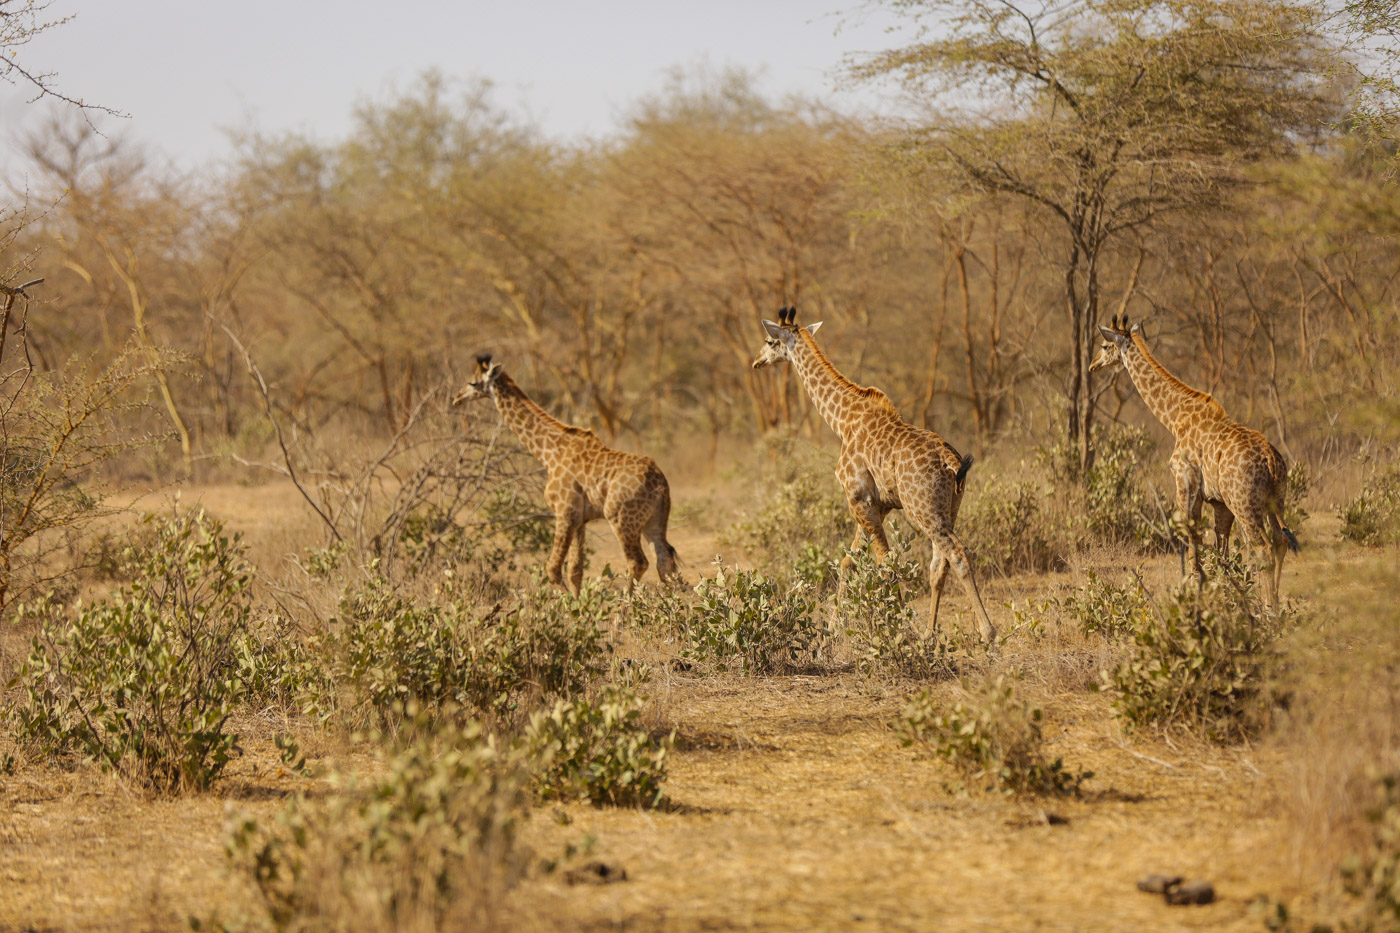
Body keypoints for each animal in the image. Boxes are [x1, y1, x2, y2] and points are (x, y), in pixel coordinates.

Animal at [453, 353, 677, 591]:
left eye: (473, 382)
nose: (456, 398)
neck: (549, 453)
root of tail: (660, 482)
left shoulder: (564, 512)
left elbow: (553, 569)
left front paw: (568, 601)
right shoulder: (580, 519)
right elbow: (575, 571)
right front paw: (579, 600)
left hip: (621, 518)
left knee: (638, 562)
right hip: (654, 519)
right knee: (664, 560)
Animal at [750, 308, 1002, 644]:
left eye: (769, 341)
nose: (757, 361)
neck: (842, 421)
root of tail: (949, 460)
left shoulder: (858, 497)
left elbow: (884, 565)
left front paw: (896, 631)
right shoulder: (877, 505)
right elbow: (849, 562)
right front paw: (832, 631)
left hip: (922, 509)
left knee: (958, 555)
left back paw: (988, 634)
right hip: (950, 508)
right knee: (939, 565)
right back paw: (929, 637)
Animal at [1086, 312, 1293, 610]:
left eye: (1104, 346)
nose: (1093, 365)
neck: (1175, 418)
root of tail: (1271, 460)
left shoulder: (1185, 485)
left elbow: (1194, 552)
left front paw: (1196, 601)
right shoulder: (1219, 503)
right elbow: (1221, 555)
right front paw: (1227, 600)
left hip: (1244, 503)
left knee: (1263, 548)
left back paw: (1270, 611)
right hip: (1275, 500)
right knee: (1280, 541)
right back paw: (1274, 607)